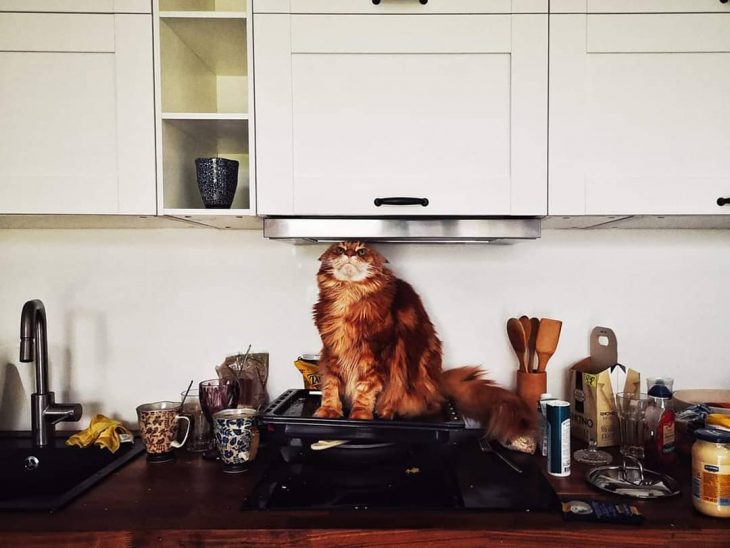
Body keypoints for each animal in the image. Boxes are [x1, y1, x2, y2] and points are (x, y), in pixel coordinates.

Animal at [310, 242, 532, 444]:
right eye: (339, 249)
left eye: (361, 251)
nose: (349, 253)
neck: (348, 294)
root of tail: (438, 382)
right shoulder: (332, 352)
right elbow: (331, 386)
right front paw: (328, 410)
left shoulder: (374, 355)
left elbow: (365, 390)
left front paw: (360, 415)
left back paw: (387, 411)